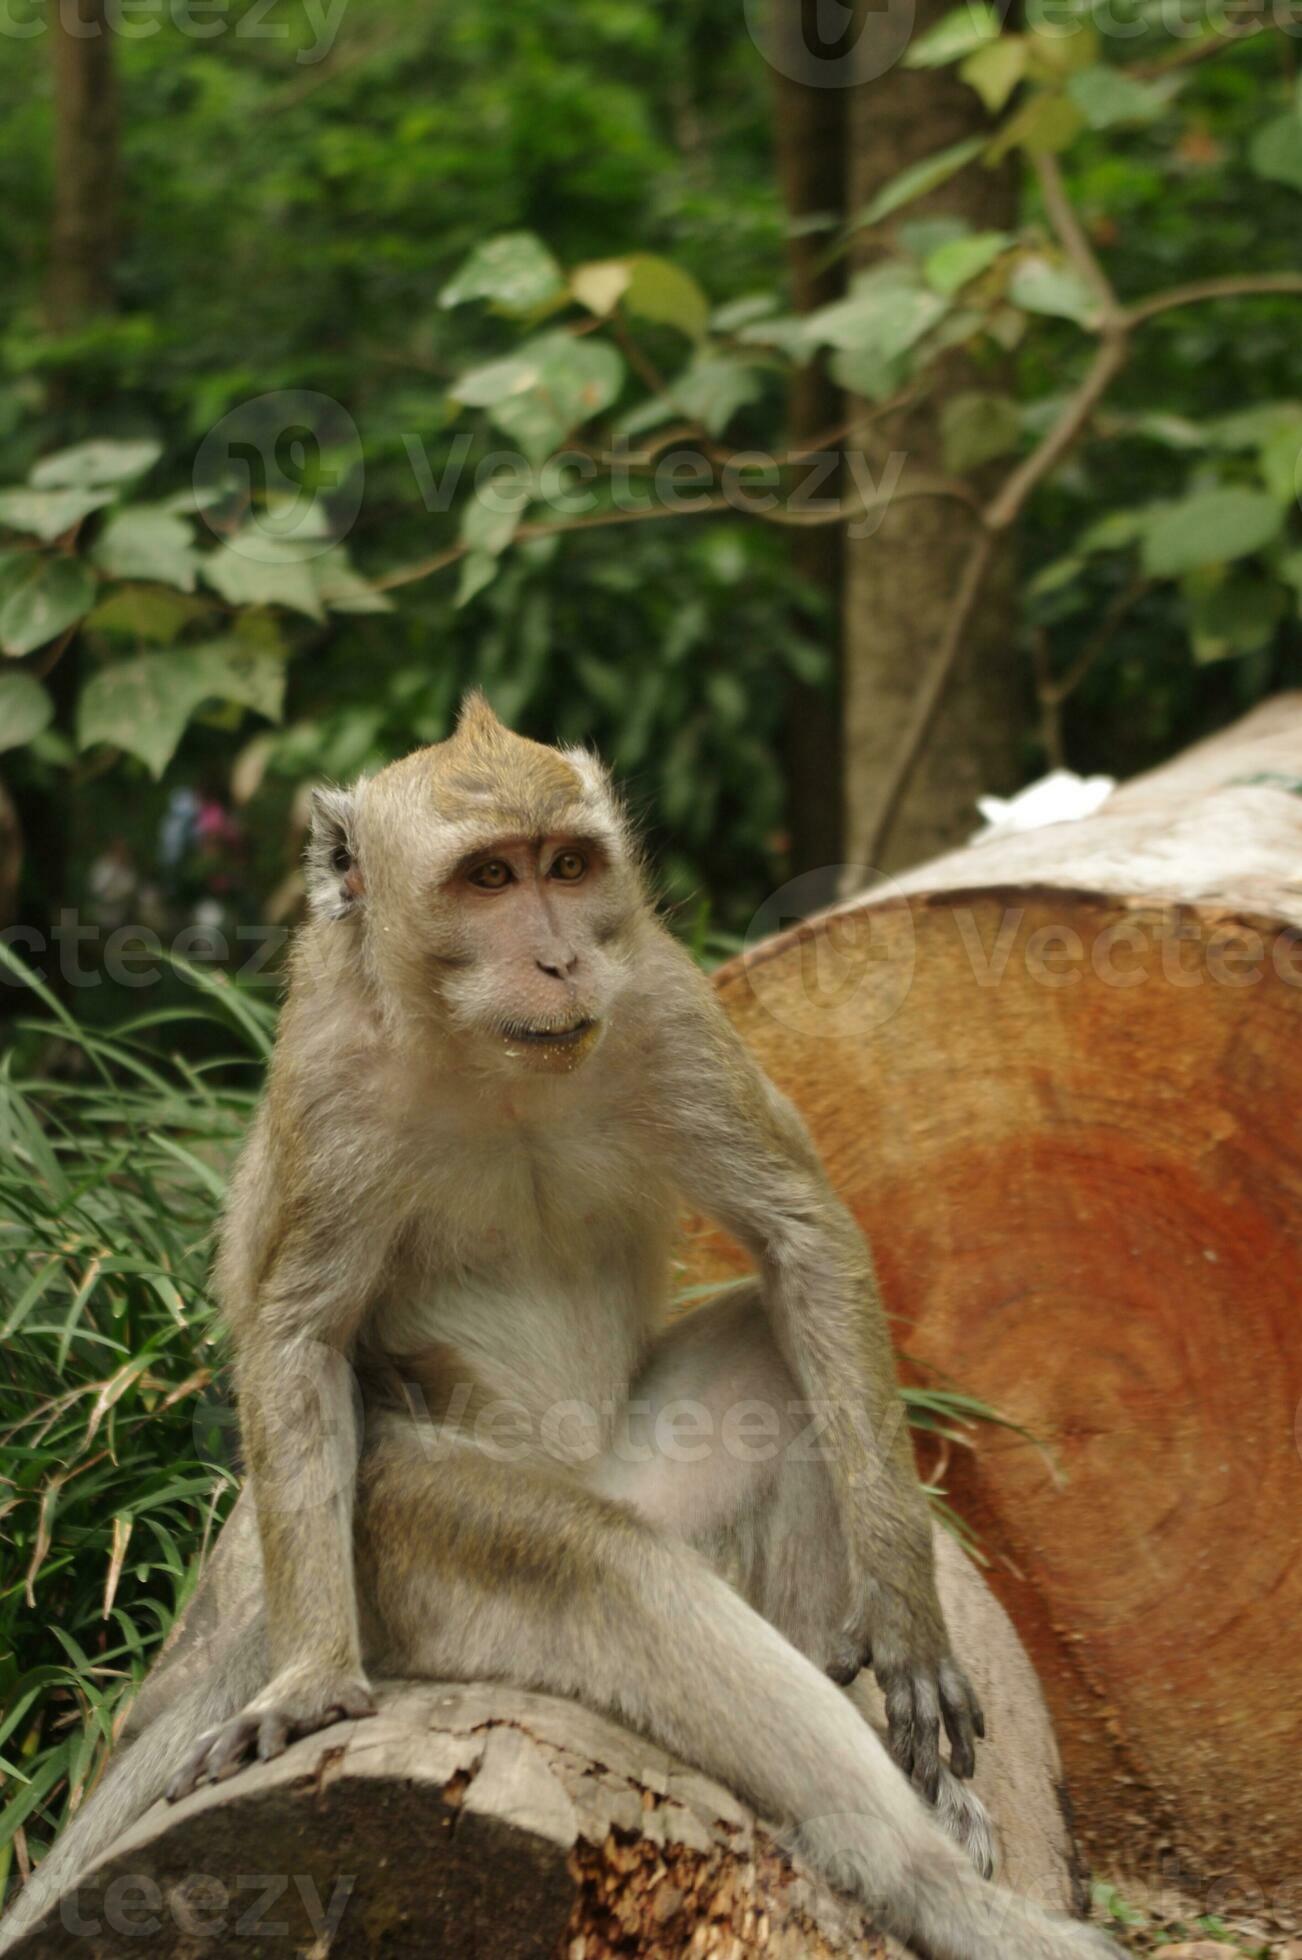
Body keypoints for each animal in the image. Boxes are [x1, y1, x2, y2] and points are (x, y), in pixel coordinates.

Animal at [0, 696, 1120, 1960]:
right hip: (404, 1543)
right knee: (597, 1564)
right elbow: (298, 1340)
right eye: (489, 876)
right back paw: (934, 1884)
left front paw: (905, 1615)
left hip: (659, 1477)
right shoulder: (330, 1078)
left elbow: (801, 1234)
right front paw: (312, 1679)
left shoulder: (663, 995)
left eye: (568, 867)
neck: (484, 1053)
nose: (559, 955)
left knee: (773, 1364)